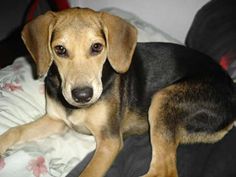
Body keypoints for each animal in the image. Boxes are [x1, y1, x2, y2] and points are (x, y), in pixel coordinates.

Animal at [0, 7, 236, 177]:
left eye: (97, 47)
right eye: (60, 50)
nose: (82, 95)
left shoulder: (109, 141)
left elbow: (88, 174)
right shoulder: (56, 121)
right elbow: (14, 131)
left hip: (163, 99)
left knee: (164, 171)